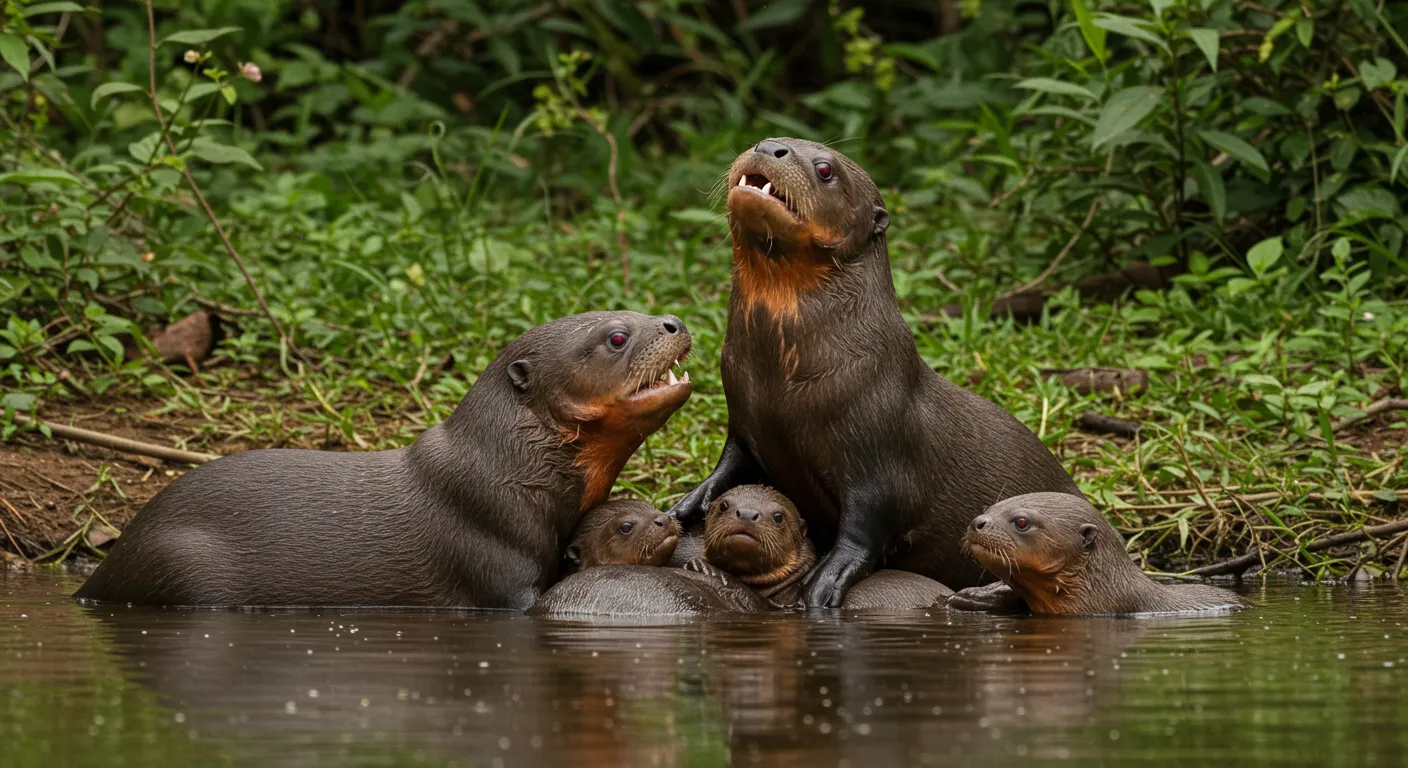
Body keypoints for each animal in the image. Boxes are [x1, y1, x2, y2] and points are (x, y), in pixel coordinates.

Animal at [75, 308, 692, 608]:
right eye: (616, 337)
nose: (676, 323)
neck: (509, 469)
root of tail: (105, 568)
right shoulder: (499, 557)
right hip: (184, 566)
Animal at [664, 138, 1081, 605]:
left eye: (825, 169)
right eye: (761, 139)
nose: (771, 146)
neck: (782, 373)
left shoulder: (878, 455)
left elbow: (866, 526)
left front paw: (827, 579)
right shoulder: (745, 421)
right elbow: (729, 466)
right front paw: (687, 504)